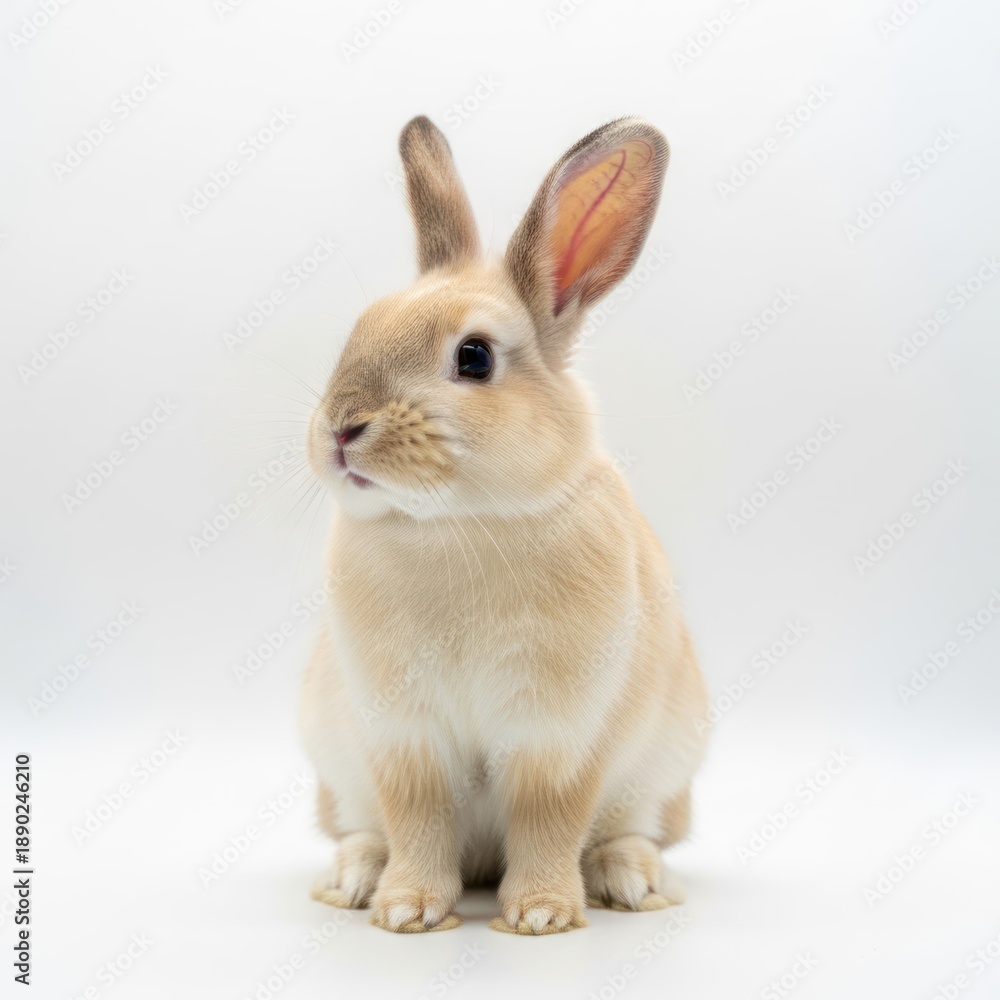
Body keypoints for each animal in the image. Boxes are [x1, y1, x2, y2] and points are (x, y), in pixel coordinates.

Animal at [299, 115, 709, 935]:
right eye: (361, 328)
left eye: (475, 357)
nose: (341, 429)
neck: (458, 524)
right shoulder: (403, 735)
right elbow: (417, 817)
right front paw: (408, 911)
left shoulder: (561, 735)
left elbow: (550, 817)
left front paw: (542, 916)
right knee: (363, 825)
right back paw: (354, 878)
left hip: (664, 772)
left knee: (633, 830)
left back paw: (630, 882)